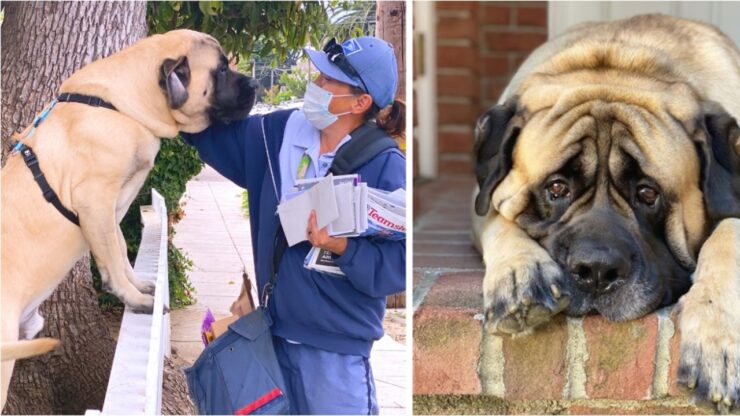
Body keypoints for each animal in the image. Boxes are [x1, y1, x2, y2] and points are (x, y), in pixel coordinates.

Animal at [0, 30, 258, 410]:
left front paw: (137, 285)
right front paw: (134, 299)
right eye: (221, 70)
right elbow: (112, 256)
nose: (255, 84)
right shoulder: (95, 202)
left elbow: (119, 252)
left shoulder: (112, 211)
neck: (125, 106)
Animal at [474, 14, 740, 412]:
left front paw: (716, 341)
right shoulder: (481, 200)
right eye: (557, 188)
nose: (596, 271)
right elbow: (498, 219)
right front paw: (519, 275)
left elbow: (728, 239)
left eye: (647, 193)